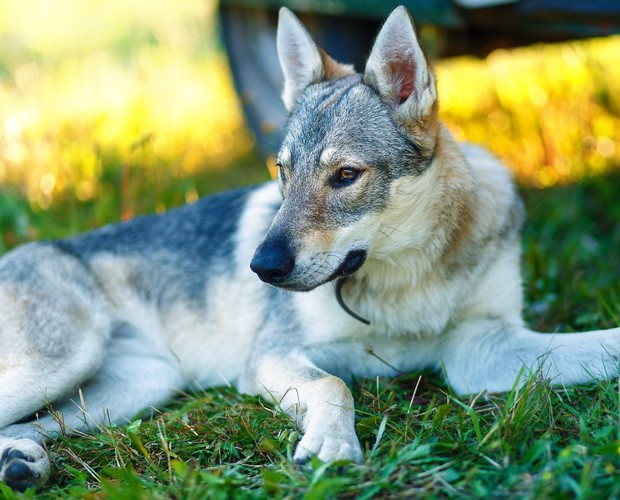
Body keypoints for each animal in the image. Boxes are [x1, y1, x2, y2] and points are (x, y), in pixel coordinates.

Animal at [1, 5, 620, 490]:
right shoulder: (272, 355)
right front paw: (332, 447)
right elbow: (335, 383)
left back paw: (24, 461)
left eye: (345, 175)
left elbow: (600, 345)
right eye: (283, 171)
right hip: (68, 362)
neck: (405, 279)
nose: (260, 267)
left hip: (135, 386)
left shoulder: (480, 350)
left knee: (18, 427)